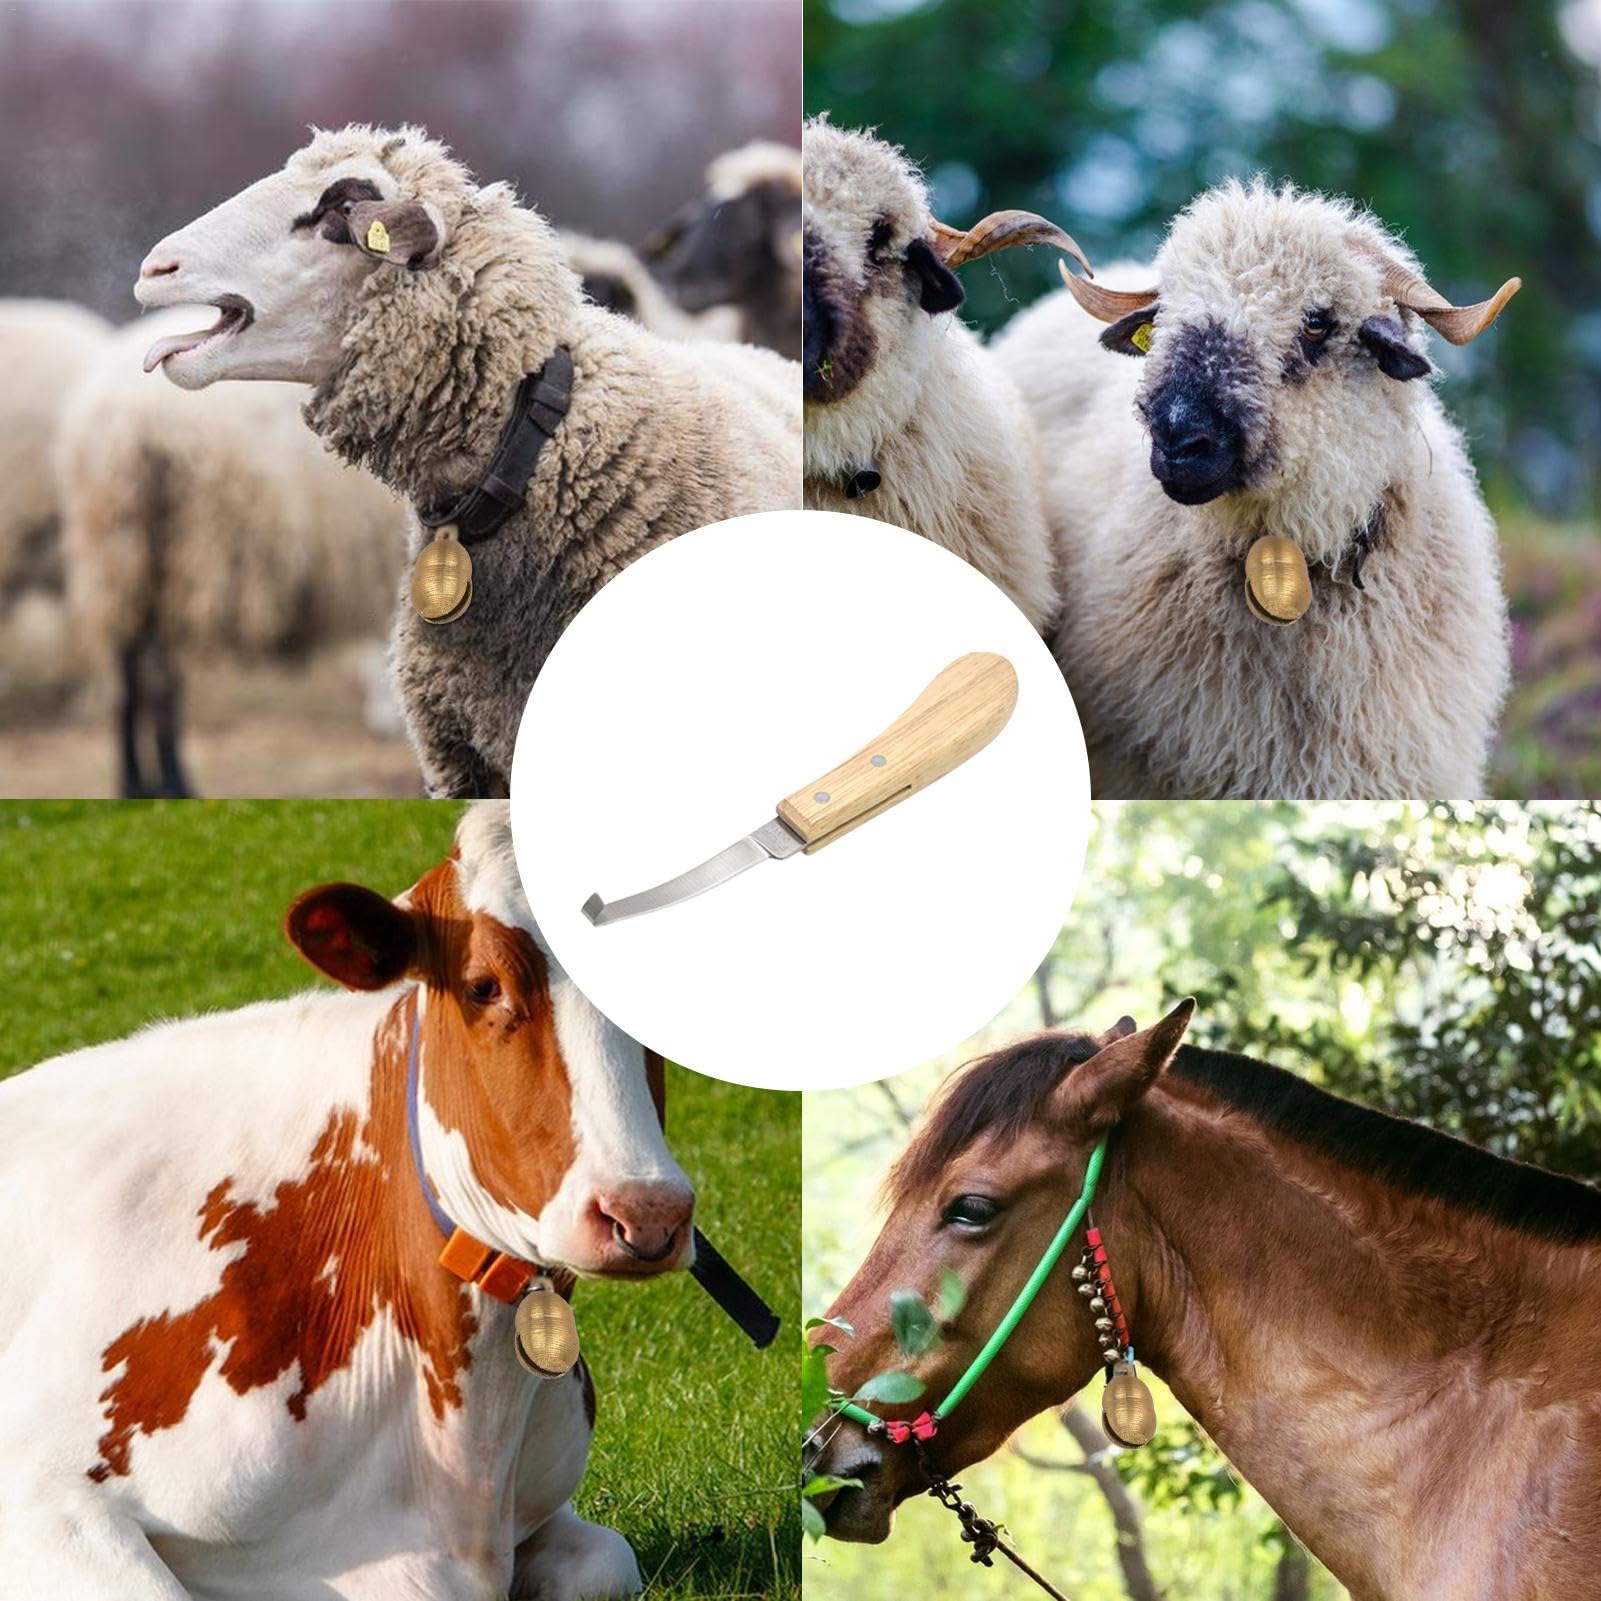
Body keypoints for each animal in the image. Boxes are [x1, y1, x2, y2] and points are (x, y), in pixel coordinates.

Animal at [56, 310, 410, 798]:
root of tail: (118, 424)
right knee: (160, 675)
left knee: (128, 671)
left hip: (120, 550)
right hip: (184, 549)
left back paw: (133, 781)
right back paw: (174, 782)